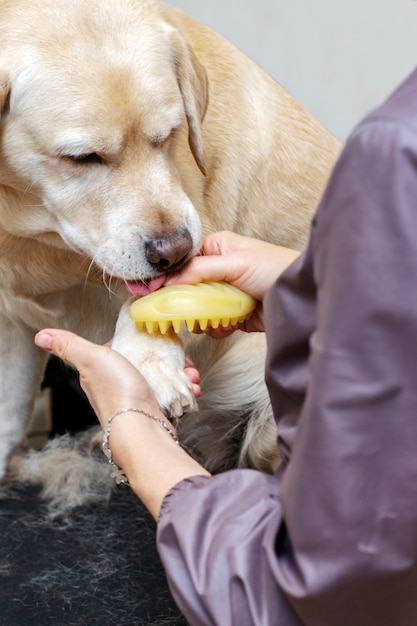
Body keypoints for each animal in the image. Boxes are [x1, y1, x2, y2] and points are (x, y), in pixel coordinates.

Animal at [0, 0, 338, 478]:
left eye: (170, 134)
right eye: (82, 158)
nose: (173, 254)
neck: (38, 238)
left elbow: (142, 299)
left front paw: (148, 364)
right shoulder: (11, 322)